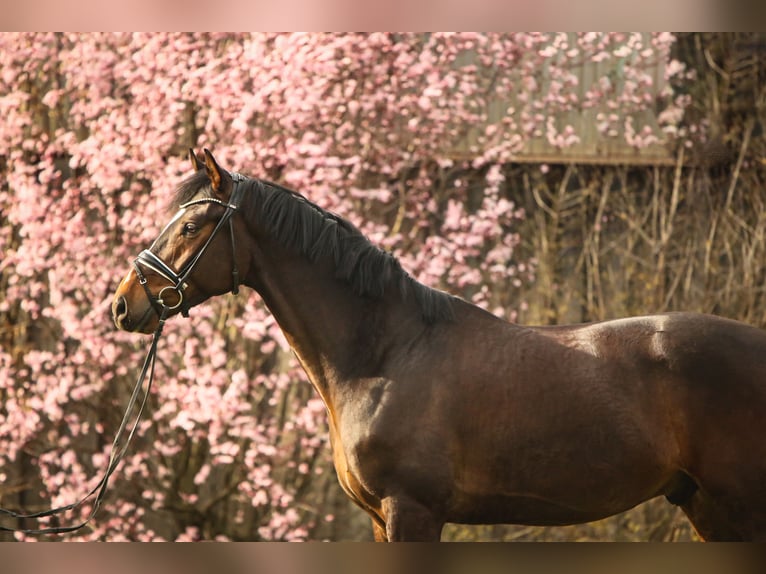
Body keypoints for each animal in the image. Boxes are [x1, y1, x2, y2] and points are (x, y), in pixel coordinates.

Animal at [111, 150, 766, 544]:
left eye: (190, 226)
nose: (123, 305)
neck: (384, 355)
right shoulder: (383, 520)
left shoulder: (412, 512)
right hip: (705, 507)